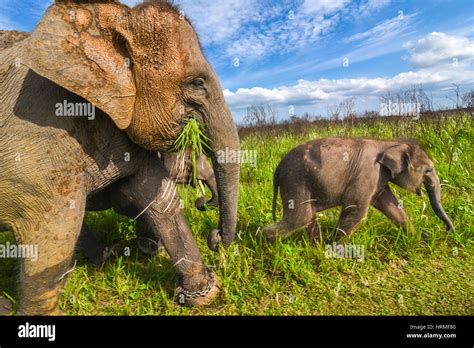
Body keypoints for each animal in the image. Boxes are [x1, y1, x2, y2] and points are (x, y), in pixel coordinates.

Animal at [0, 0, 239, 316]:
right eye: (197, 83)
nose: (216, 238)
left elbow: (157, 197)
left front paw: (202, 295)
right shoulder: (37, 120)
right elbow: (53, 225)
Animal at [264, 137, 454, 242]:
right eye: (428, 170)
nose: (448, 231)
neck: (388, 143)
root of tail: (277, 170)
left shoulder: (378, 178)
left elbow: (392, 207)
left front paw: (417, 238)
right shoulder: (367, 173)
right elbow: (356, 210)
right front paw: (334, 249)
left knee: (307, 215)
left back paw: (317, 245)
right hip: (295, 180)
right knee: (299, 217)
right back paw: (264, 242)